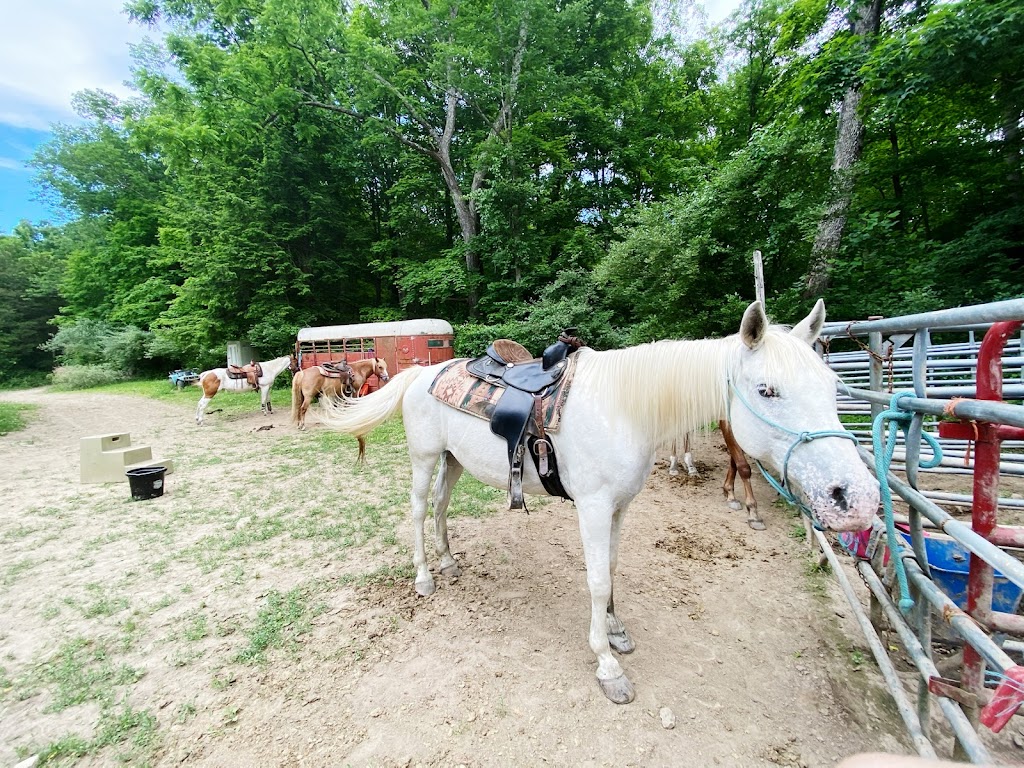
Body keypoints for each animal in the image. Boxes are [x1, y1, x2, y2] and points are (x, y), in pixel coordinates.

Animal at [315, 301, 876, 704]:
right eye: (767, 390)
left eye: (831, 384)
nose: (858, 498)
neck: (625, 408)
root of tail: (421, 375)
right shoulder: (592, 507)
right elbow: (598, 578)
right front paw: (608, 665)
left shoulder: (621, 506)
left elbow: (614, 566)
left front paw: (616, 629)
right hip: (425, 458)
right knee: (415, 511)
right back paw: (425, 578)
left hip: (454, 462)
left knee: (439, 508)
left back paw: (449, 562)